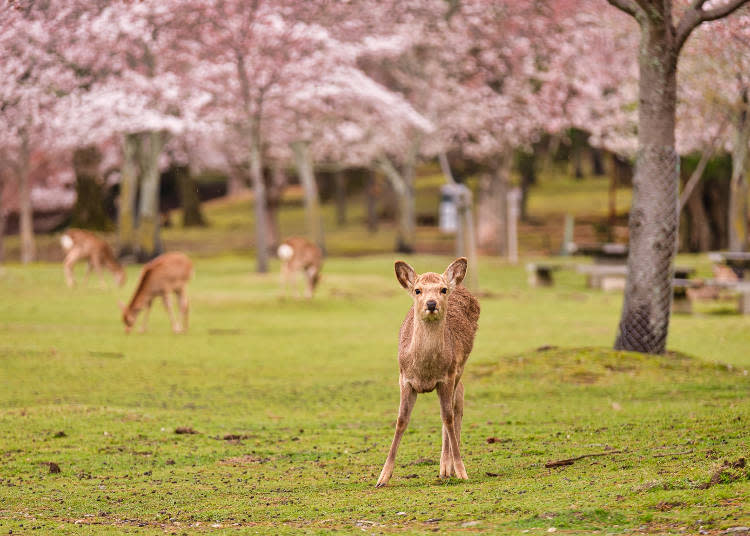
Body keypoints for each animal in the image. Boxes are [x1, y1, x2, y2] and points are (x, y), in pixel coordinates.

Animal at [376, 258, 482, 488]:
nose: (431, 304)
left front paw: (461, 471)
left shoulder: (447, 377)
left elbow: (447, 417)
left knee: (456, 406)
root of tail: (460, 285)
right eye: (418, 290)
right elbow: (401, 420)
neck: (425, 371)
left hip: (459, 369)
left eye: (442, 289)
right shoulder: (404, 379)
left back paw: (446, 468)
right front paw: (382, 477)